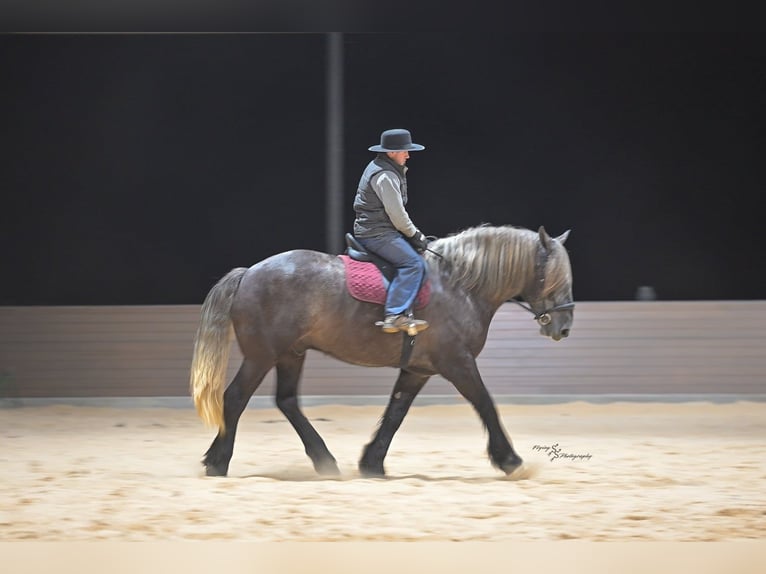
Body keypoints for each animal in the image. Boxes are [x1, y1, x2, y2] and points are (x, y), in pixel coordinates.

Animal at [190, 224, 574, 478]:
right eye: (555, 277)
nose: (564, 328)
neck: (459, 286)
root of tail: (249, 273)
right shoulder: (457, 362)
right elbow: (485, 403)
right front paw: (509, 460)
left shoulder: (418, 369)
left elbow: (395, 413)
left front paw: (372, 463)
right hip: (262, 356)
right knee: (235, 398)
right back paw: (218, 462)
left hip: (290, 354)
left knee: (286, 401)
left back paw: (323, 461)